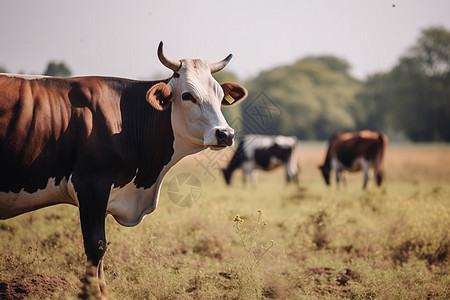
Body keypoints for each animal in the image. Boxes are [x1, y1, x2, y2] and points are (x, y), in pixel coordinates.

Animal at [0, 41, 248, 298]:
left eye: (220, 95)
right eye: (187, 95)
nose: (225, 134)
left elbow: (100, 248)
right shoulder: (91, 185)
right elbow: (96, 246)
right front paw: (94, 293)